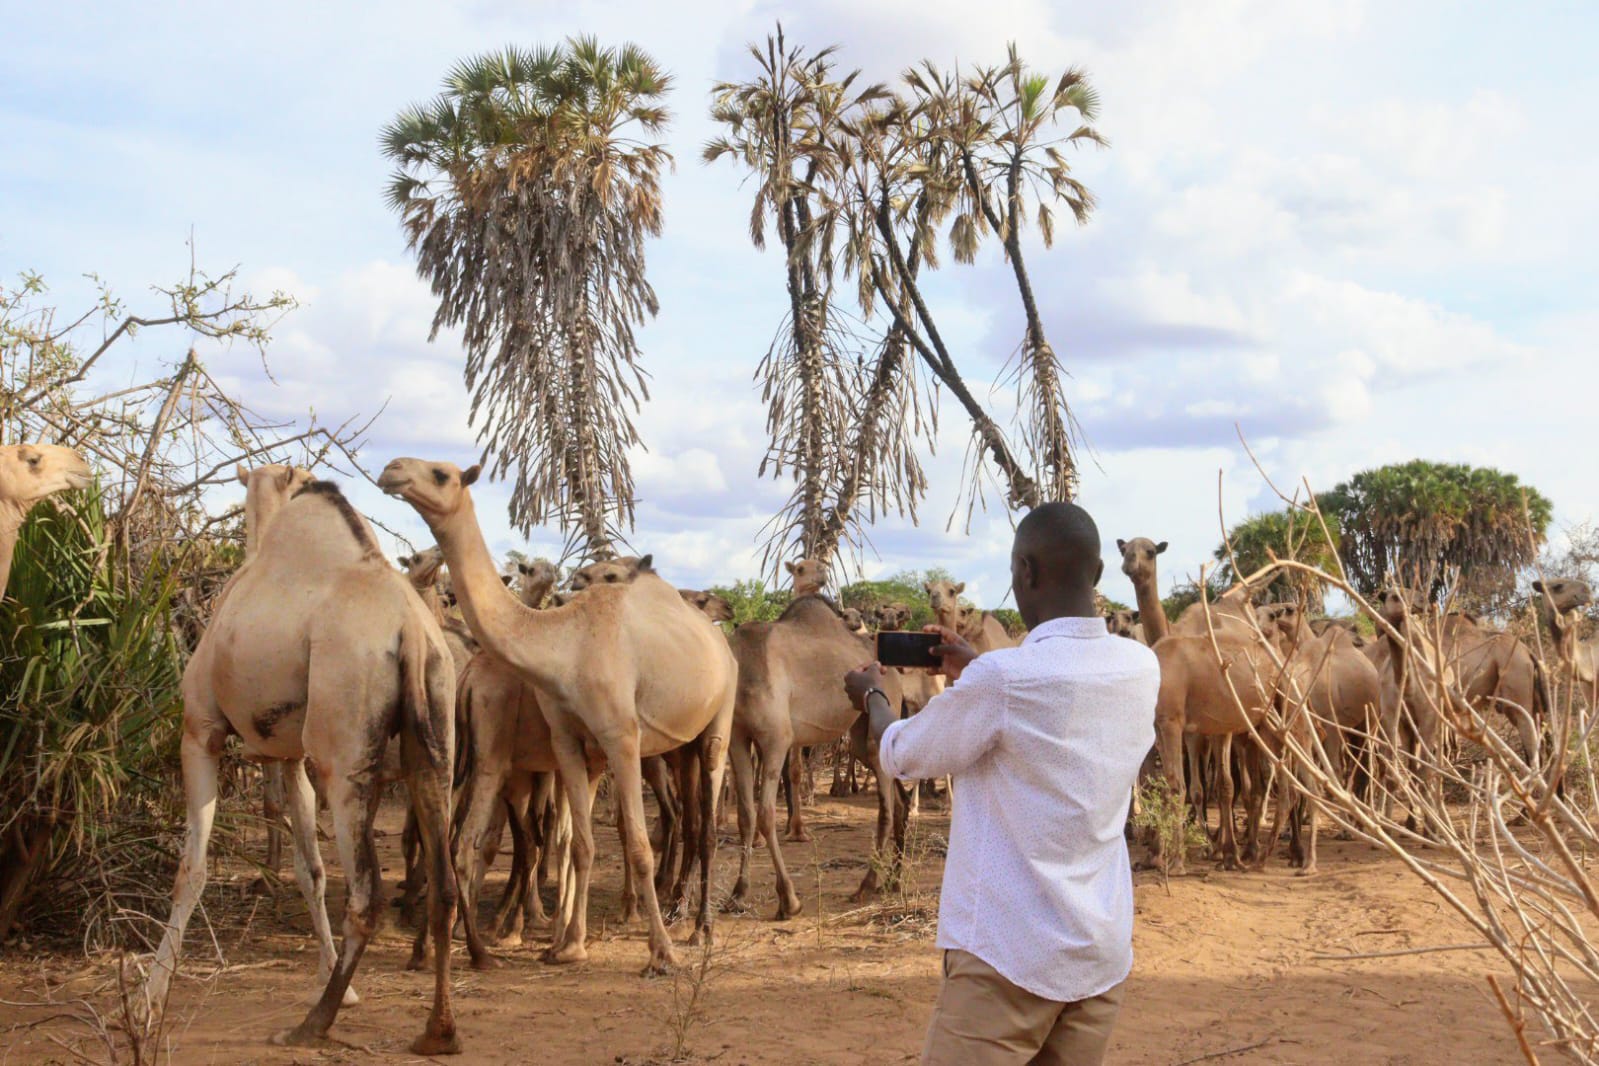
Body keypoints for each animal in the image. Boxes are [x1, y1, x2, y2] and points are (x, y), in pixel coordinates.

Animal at [148, 478, 460, 1054]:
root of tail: (411, 630)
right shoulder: (290, 755)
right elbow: (310, 869)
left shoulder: (200, 730)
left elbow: (191, 869)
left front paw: (148, 996)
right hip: (435, 744)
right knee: (445, 885)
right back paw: (438, 1033)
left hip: (345, 758)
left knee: (366, 894)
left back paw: (311, 1024)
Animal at [379, 458, 736, 973]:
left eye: (441, 474)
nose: (391, 469)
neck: (563, 645)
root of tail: (719, 637)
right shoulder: (570, 742)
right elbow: (581, 844)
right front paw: (569, 945)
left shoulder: (621, 737)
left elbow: (636, 844)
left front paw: (661, 953)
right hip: (666, 747)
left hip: (718, 721)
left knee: (706, 821)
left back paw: (698, 928)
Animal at [726, 591, 906, 916]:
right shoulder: (737, 737)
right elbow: (746, 816)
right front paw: (738, 894)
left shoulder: (777, 739)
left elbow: (766, 815)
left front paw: (788, 900)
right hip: (861, 735)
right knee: (897, 802)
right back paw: (892, 881)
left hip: (877, 727)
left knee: (886, 809)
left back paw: (865, 886)